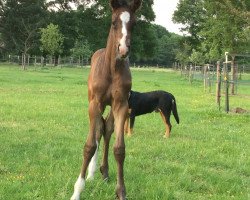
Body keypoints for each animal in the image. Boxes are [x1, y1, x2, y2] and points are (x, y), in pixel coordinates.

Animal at [70, 0, 141, 199]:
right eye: (113, 22)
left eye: (134, 24)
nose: (123, 49)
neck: (112, 69)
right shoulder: (95, 104)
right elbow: (89, 145)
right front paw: (77, 191)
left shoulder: (121, 105)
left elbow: (119, 149)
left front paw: (121, 192)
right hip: (96, 104)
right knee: (97, 132)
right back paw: (92, 172)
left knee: (106, 129)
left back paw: (104, 171)